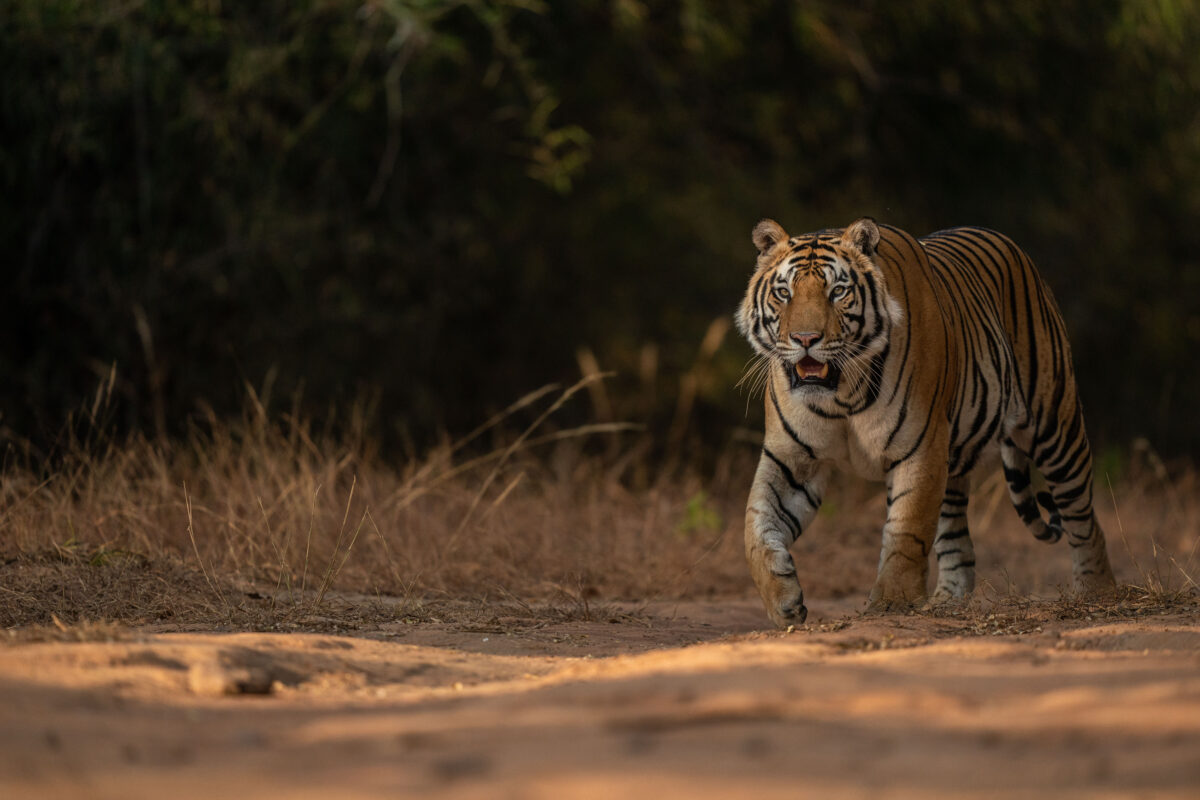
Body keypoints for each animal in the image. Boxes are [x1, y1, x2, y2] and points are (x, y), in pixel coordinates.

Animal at [735, 217, 1115, 628]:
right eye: (784, 293)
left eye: (837, 291)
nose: (805, 338)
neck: (841, 394)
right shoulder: (791, 459)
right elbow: (757, 527)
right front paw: (782, 601)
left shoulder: (920, 447)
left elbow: (907, 529)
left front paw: (892, 602)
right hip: (956, 461)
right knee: (957, 542)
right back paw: (948, 603)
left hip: (1054, 427)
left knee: (1083, 517)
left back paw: (1098, 593)